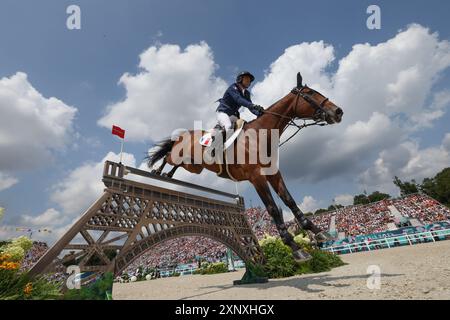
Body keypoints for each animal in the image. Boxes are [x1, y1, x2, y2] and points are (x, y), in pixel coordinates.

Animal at [146, 73, 342, 262]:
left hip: (193, 165)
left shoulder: (273, 174)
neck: (260, 136)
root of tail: (185, 134)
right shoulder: (257, 177)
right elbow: (273, 209)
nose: (338, 112)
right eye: (310, 94)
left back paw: (168, 175)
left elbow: (289, 200)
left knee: (177, 164)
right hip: (181, 156)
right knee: (168, 155)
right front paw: (295, 248)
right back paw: (158, 172)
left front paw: (318, 232)